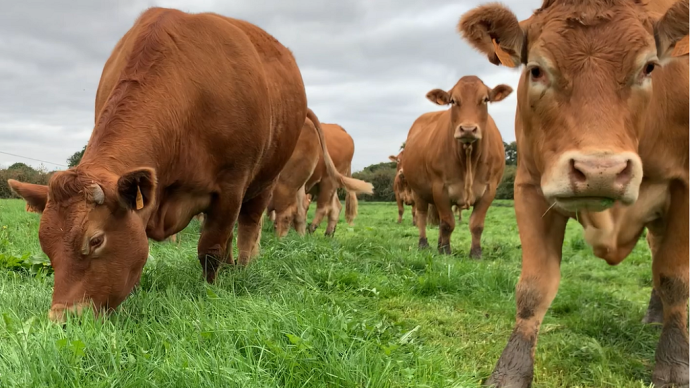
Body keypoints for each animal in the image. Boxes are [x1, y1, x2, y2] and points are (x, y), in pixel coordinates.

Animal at [6, 7, 322, 322]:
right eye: (46, 246)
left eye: (95, 241)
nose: (62, 318)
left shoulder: (232, 186)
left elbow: (210, 248)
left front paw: (211, 289)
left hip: (265, 180)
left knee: (248, 225)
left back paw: (242, 266)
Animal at [400, 75, 508, 258]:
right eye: (453, 100)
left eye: (485, 99)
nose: (468, 129)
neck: (468, 157)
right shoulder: (440, 187)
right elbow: (448, 223)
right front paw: (445, 251)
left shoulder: (489, 189)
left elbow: (476, 224)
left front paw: (476, 253)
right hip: (418, 191)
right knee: (422, 216)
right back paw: (424, 244)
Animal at [456, 0, 688, 384]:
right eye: (536, 70)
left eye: (649, 67)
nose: (600, 171)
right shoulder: (530, 185)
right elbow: (534, 287)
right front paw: (510, 370)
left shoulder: (685, 188)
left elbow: (675, 278)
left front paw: (674, 365)